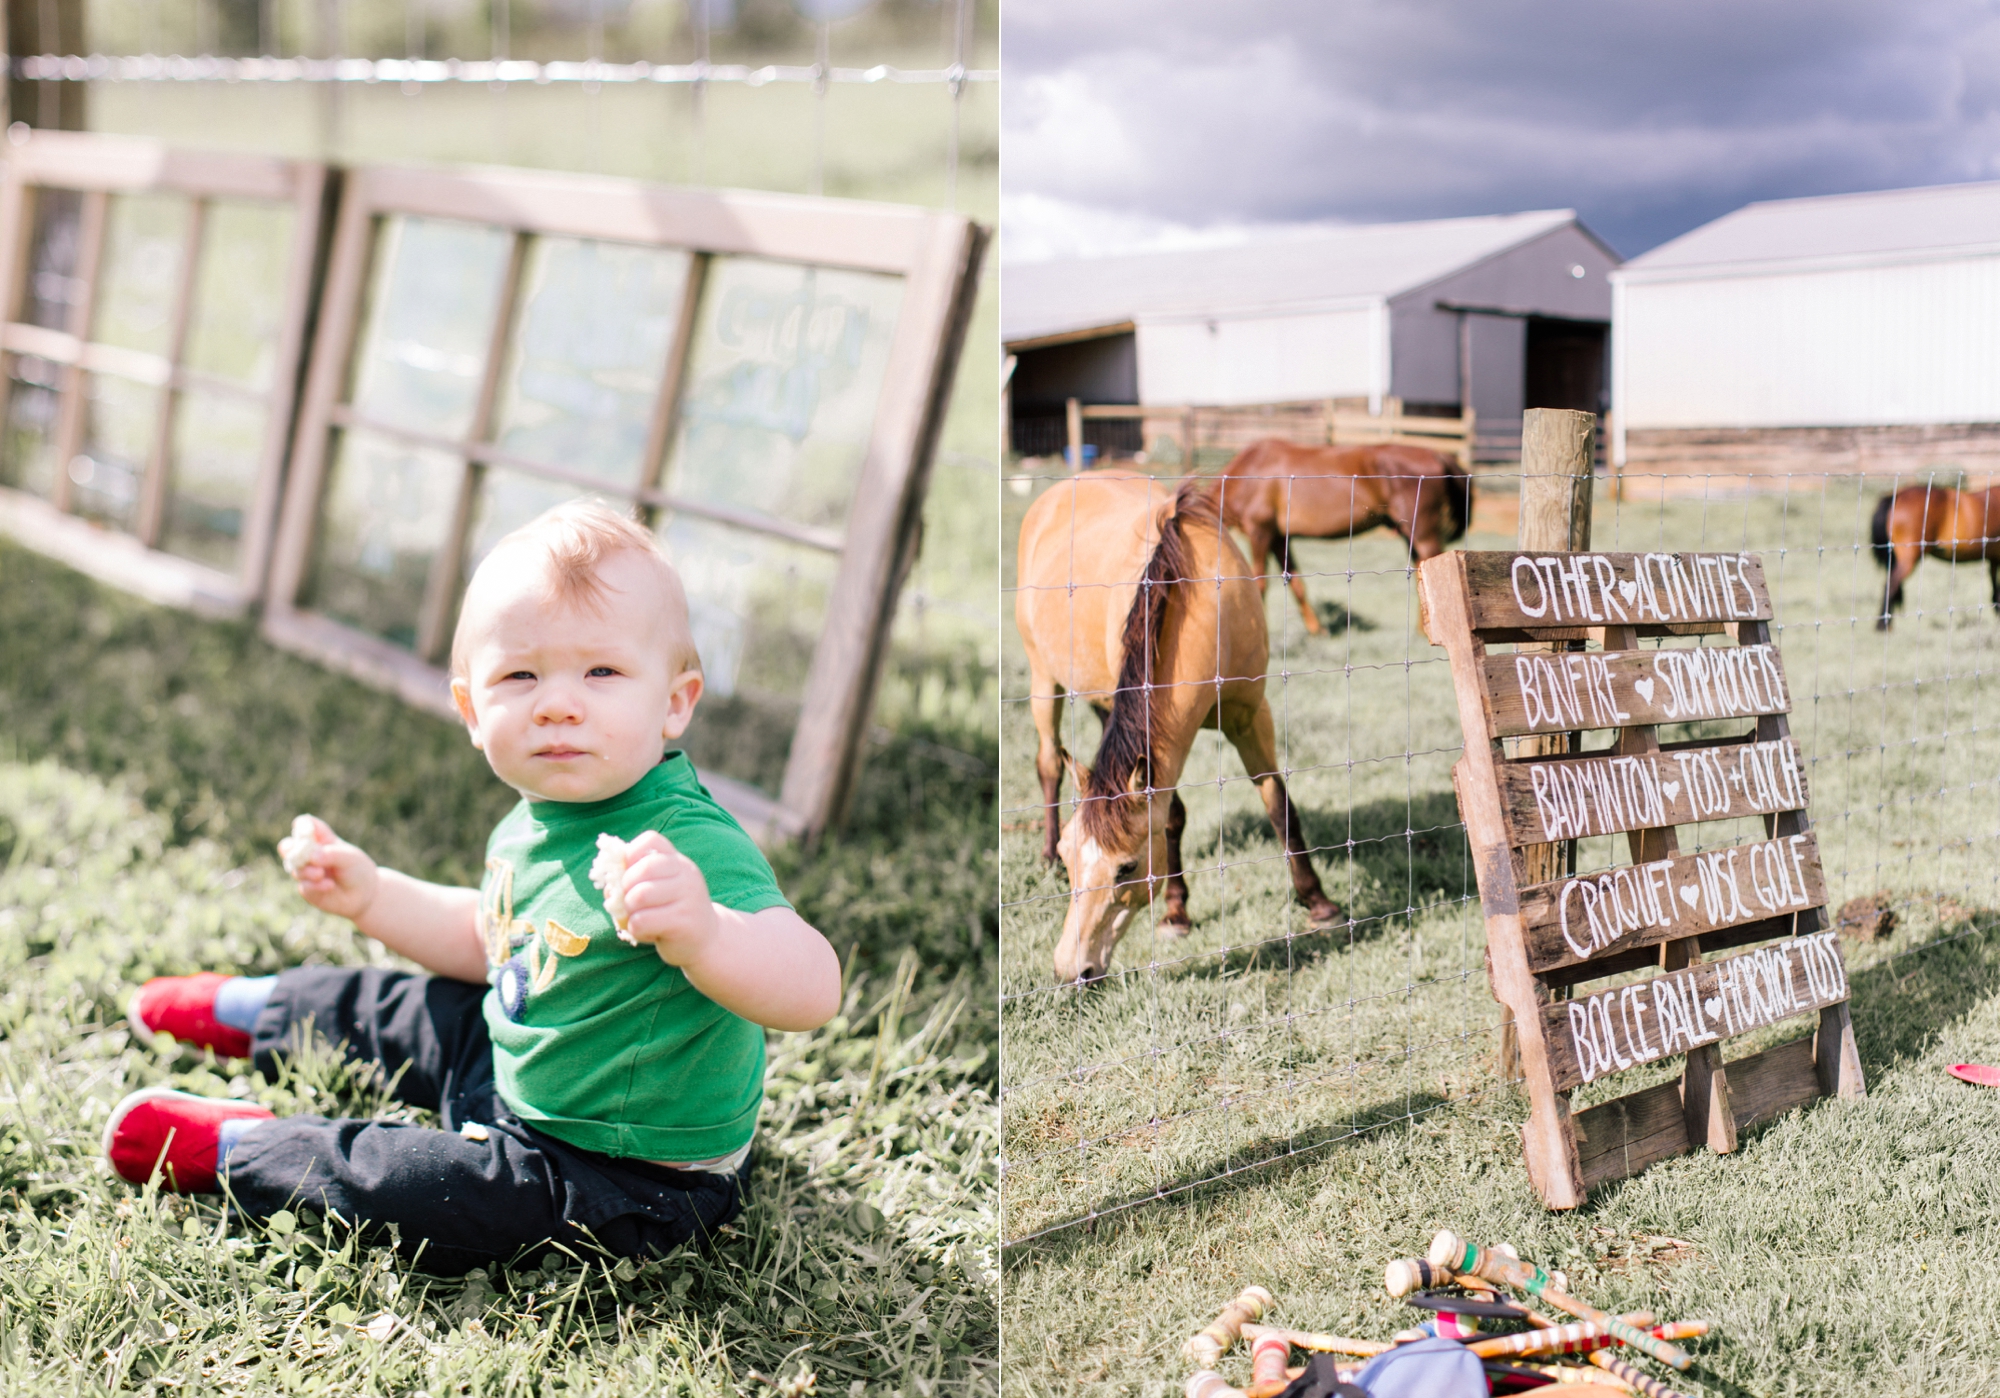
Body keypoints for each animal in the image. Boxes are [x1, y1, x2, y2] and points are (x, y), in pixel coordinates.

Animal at [1016, 470, 1344, 984]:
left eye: (1126, 868)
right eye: (1073, 857)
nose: (1071, 969)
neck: (1205, 604)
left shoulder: (1252, 716)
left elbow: (1277, 800)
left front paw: (1319, 903)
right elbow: (1171, 817)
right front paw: (1176, 913)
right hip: (1042, 679)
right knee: (1049, 761)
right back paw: (1043, 854)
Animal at [1200, 438, 1472, 636]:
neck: (1251, 473)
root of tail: (1439, 455)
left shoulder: (1261, 532)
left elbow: (1259, 584)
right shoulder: (1279, 538)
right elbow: (1296, 583)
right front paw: (1317, 630)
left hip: (1423, 533)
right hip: (1409, 534)